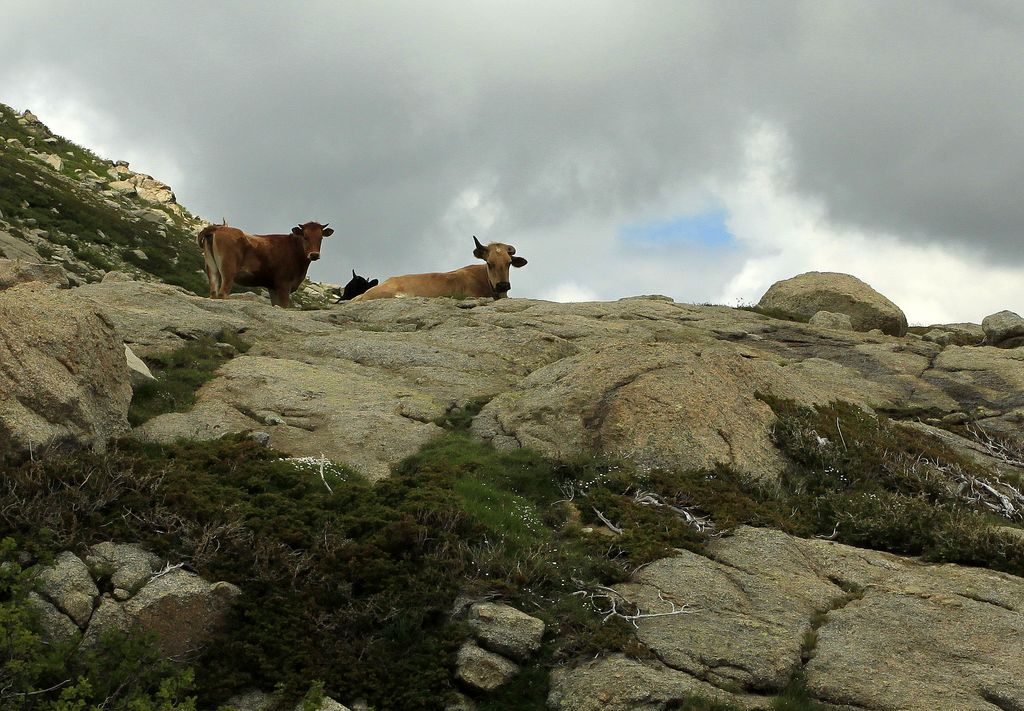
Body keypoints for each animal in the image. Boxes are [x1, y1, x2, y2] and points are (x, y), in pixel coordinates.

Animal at [194, 221, 331, 307]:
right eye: (305, 236)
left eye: (321, 238)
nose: (314, 255)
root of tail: (218, 227)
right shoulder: (284, 283)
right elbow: (284, 306)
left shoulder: (273, 287)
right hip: (228, 269)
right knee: (223, 292)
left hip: (212, 268)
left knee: (213, 292)